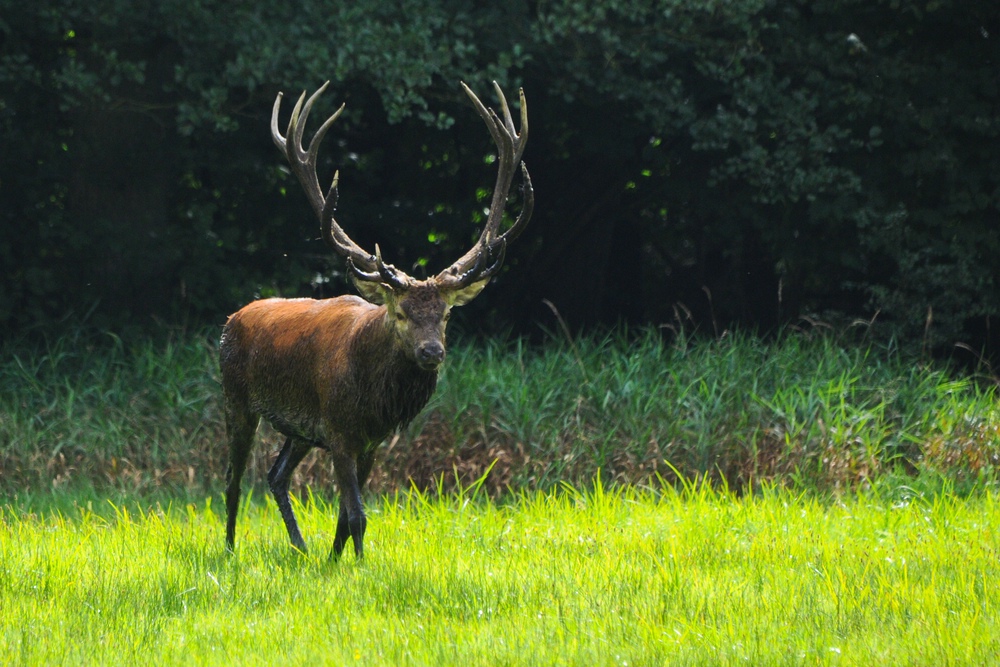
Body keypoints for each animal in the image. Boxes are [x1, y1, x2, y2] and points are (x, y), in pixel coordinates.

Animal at [220, 81, 532, 560]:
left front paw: (335, 561)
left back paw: (301, 549)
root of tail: (231, 319)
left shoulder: (368, 440)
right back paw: (231, 550)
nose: (431, 351)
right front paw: (359, 567)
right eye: (400, 312)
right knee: (233, 481)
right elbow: (357, 515)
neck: (372, 397)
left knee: (276, 475)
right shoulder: (340, 430)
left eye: (446, 314)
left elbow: (345, 516)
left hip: (300, 429)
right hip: (236, 399)